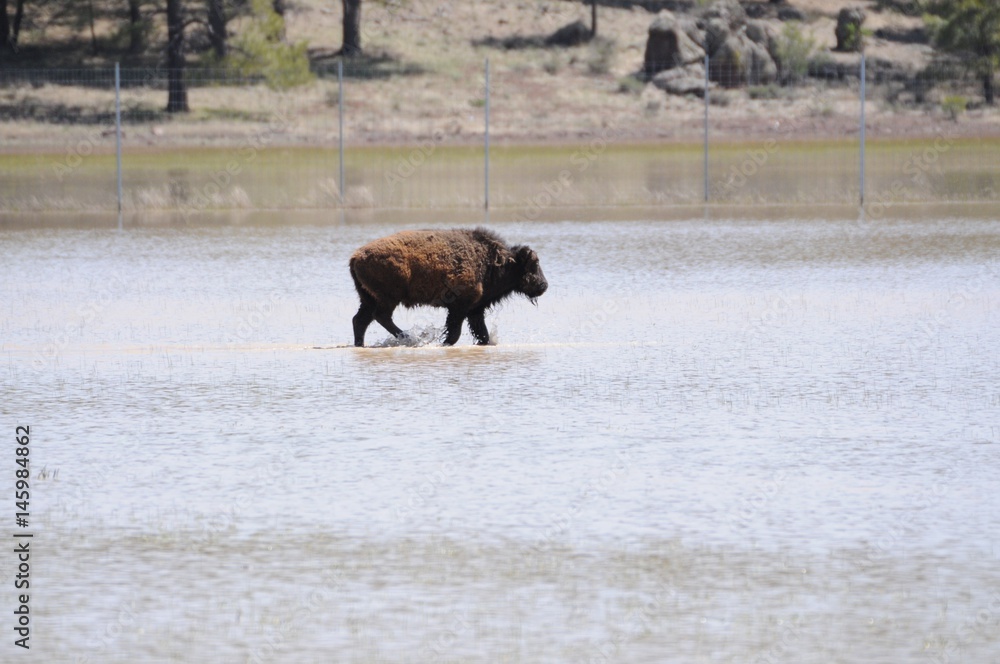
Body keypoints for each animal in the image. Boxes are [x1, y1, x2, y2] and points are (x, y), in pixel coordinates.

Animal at [349, 227, 548, 346]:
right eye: (534, 264)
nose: (543, 285)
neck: (492, 260)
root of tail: (356, 257)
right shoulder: (459, 308)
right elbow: (455, 333)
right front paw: (443, 343)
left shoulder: (474, 310)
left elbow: (482, 334)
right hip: (388, 298)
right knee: (381, 317)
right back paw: (408, 338)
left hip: (368, 299)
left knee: (360, 320)